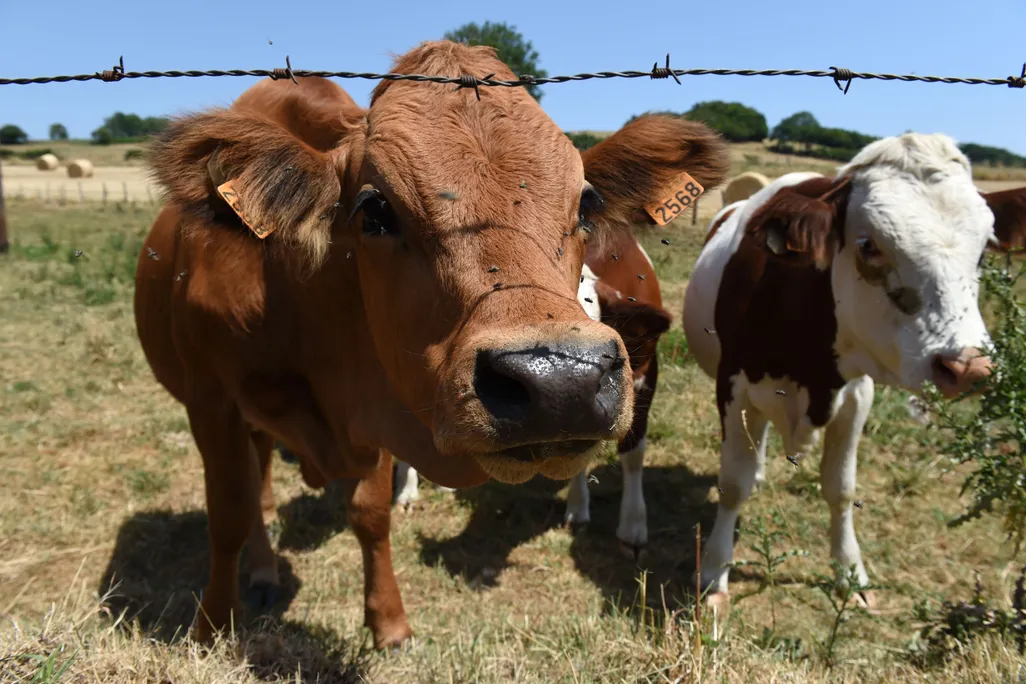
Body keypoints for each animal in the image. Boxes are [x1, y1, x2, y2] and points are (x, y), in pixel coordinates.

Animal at [135, 39, 730, 650]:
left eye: (586, 203)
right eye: (374, 210)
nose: (561, 381)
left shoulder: (377, 402)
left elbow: (370, 512)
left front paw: (388, 621)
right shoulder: (211, 399)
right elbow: (229, 514)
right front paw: (212, 625)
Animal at [681, 132, 995, 609]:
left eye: (983, 251)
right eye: (868, 245)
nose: (967, 366)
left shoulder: (856, 396)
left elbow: (841, 488)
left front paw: (850, 571)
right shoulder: (732, 386)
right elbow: (733, 484)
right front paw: (715, 570)